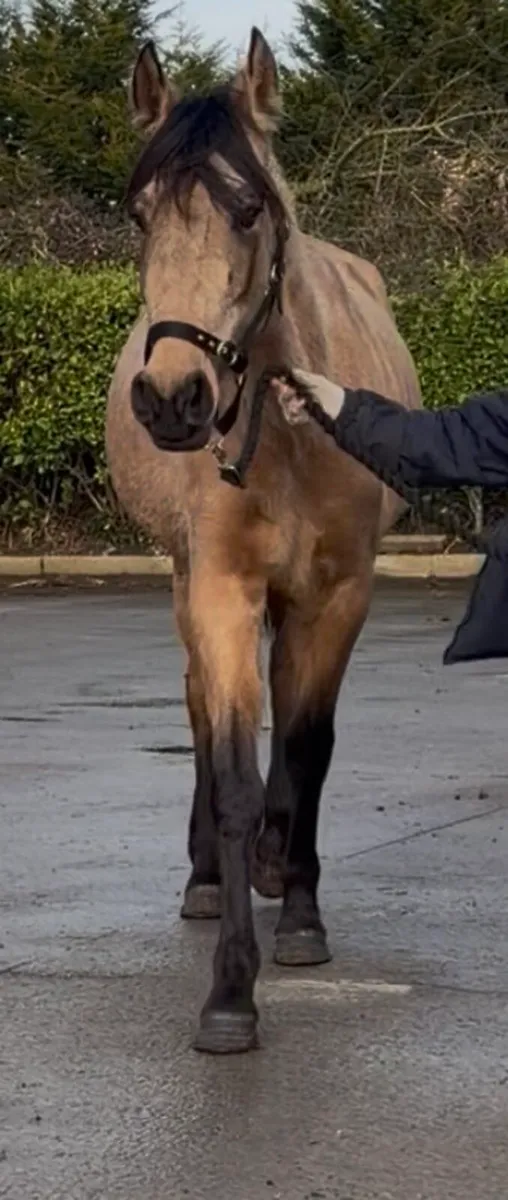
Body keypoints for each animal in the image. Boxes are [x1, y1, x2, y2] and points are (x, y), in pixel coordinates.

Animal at [106, 29, 422, 1054]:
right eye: (141, 215)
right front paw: (230, 992)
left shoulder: (339, 592)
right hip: (184, 583)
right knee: (201, 710)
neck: (284, 433)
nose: (172, 399)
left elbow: (309, 746)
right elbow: (237, 769)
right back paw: (212, 875)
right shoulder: (220, 590)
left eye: (249, 210)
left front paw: (303, 918)